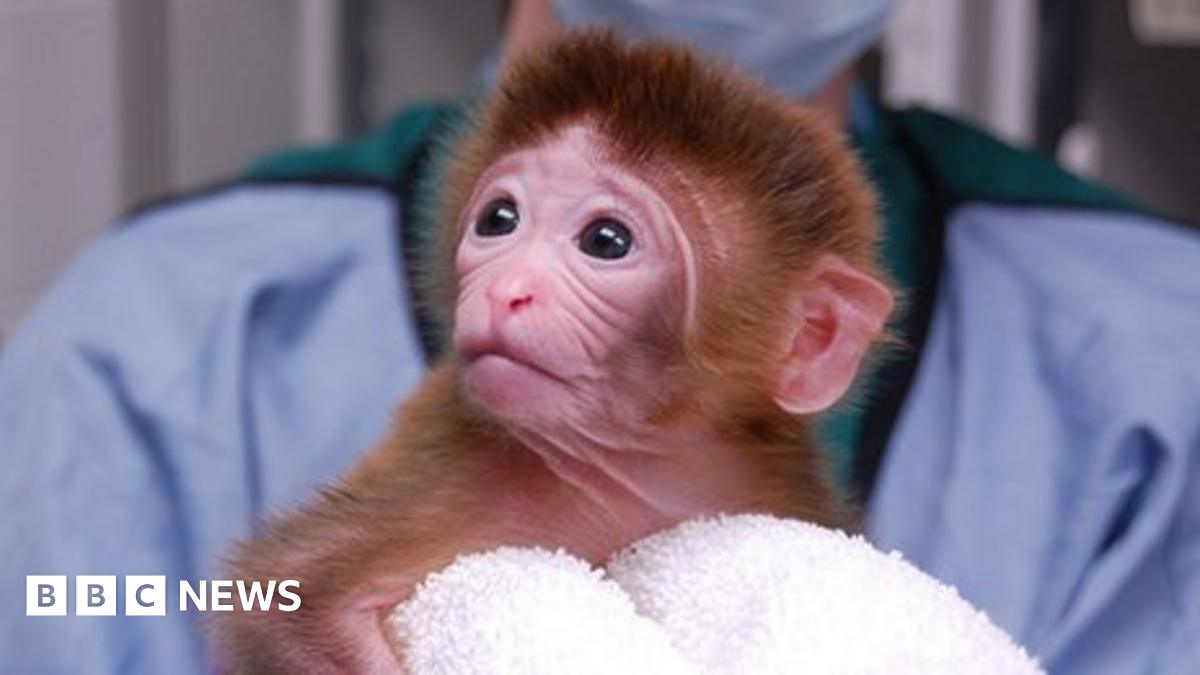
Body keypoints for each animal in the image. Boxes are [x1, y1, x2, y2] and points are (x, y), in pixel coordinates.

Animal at [211, 30, 894, 674]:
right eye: (499, 220)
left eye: (606, 240)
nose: (507, 290)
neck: (640, 470)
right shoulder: (460, 483)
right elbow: (291, 609)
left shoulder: (773, 490)